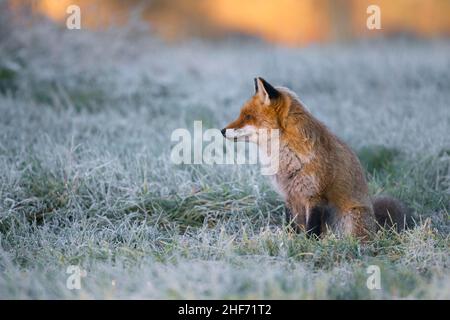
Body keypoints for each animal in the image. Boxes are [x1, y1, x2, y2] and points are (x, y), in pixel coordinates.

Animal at [221, 77, 412, 238]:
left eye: (248, 116)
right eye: (242, 114)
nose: (222, 131)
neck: (287, 159)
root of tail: (375, 224)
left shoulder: (315, 196)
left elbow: (311, 230)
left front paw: (308, 245)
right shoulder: (289, 196)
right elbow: (291, 226)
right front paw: (291, 240)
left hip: (350, 217)